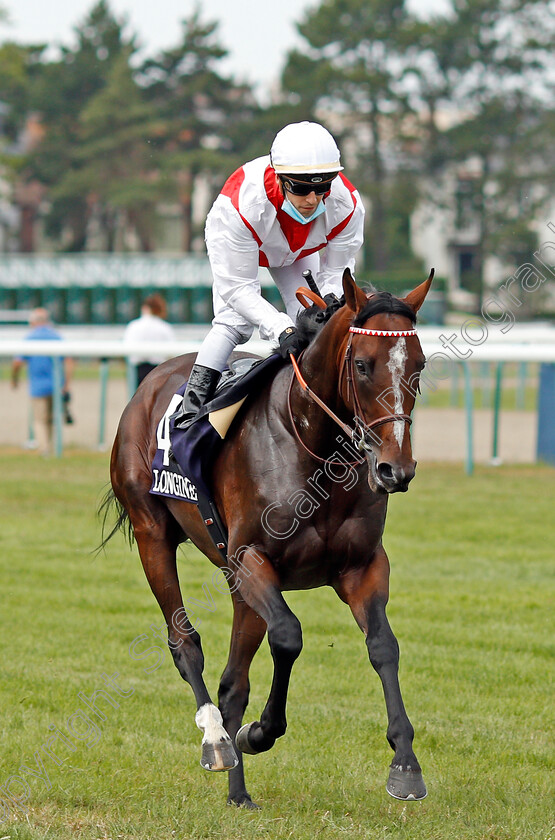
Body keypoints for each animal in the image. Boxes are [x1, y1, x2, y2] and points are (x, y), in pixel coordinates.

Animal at [104, 270, 434, 808]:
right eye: (362, 364)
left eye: (420, 365)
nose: (395, 469)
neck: (313, 449)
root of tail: (151, 380)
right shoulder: (251, 560)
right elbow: (288, 635)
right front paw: (259, 733)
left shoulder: (362, 567)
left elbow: (384, 646)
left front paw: (405, 763)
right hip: (153, 535)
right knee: (185, 643)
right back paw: (218, 740)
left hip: (236, 587)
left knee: (233, 681)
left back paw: (238, 793)